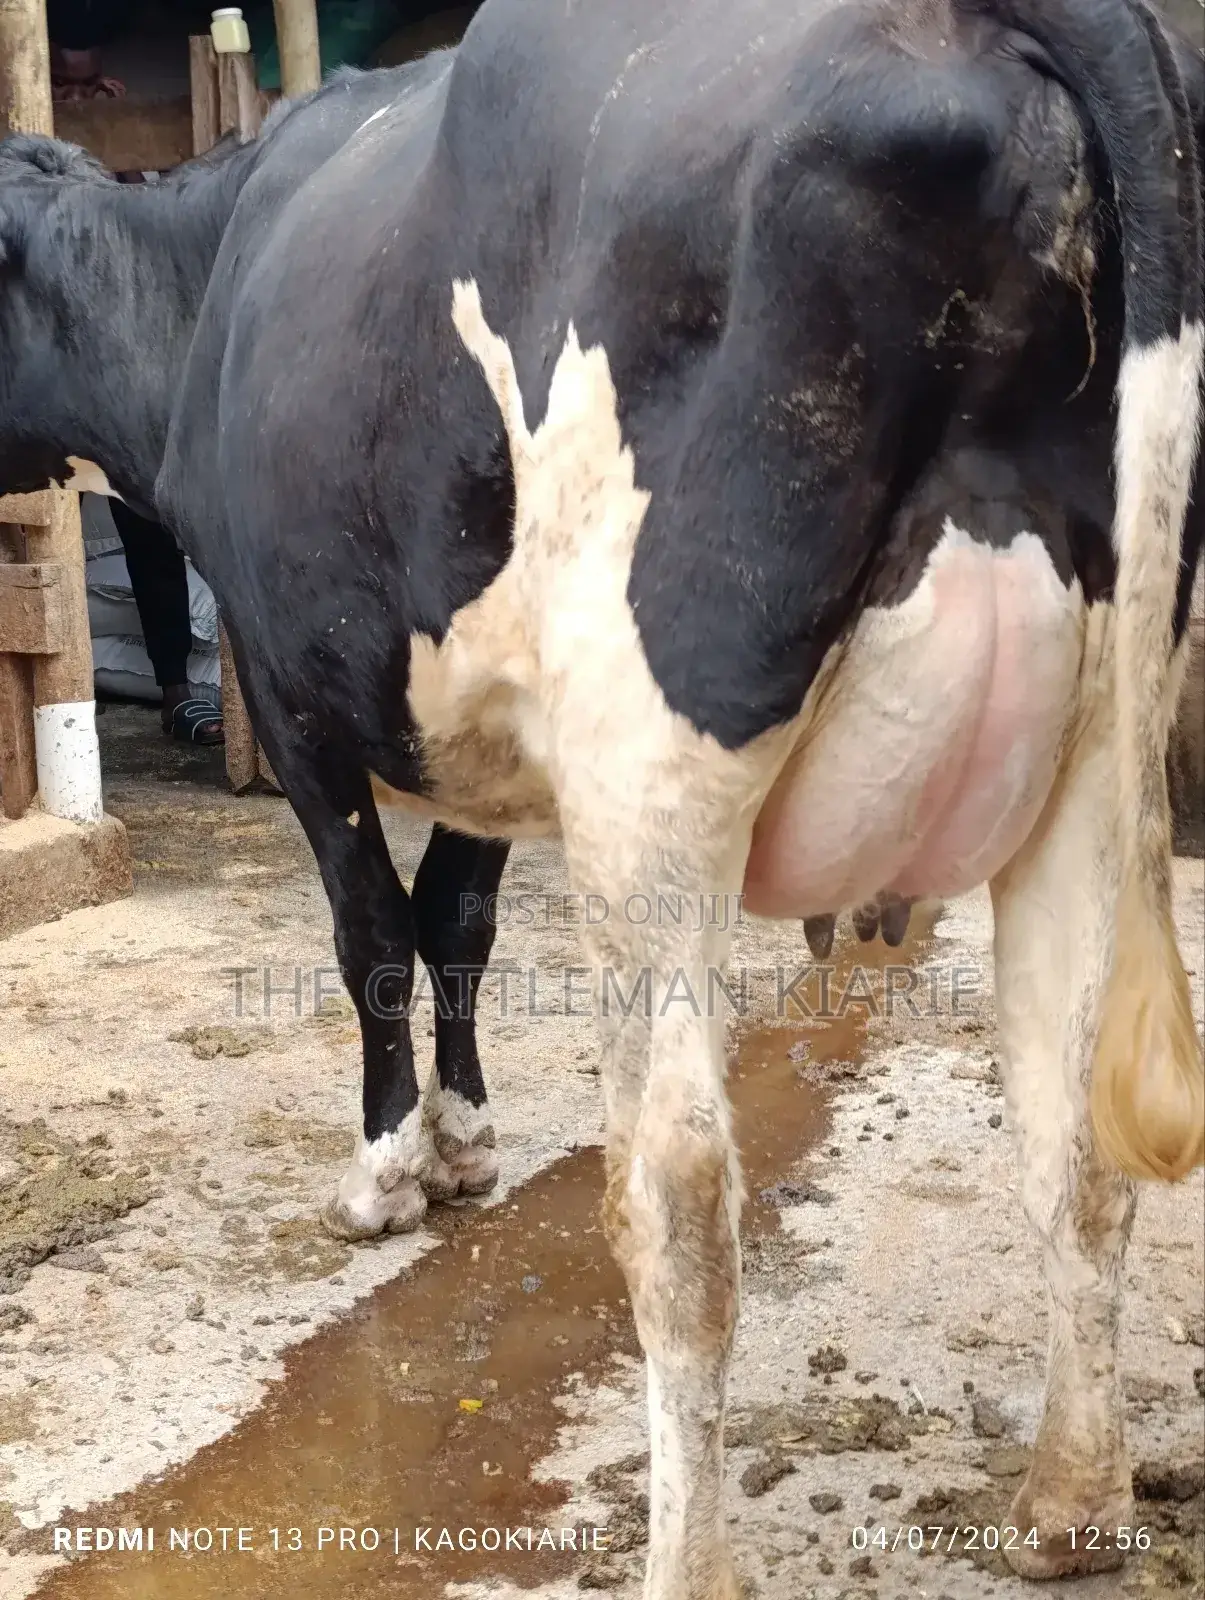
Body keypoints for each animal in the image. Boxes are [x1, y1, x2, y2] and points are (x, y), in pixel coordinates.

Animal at [2, 0, 1203, 1593]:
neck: (204, 286)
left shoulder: (293, 685)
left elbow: (372, 936)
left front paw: (386, 1174)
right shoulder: (488, 733)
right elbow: (455, 922)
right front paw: (465, 1143)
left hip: (652, 774)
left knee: (681, 1201)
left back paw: (688, 1558)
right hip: (1091, 748)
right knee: (1073, 1137)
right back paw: (1068, 1505)